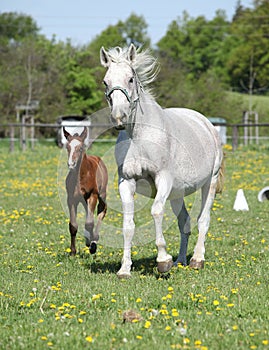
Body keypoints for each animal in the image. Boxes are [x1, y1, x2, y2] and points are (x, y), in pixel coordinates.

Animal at [99, 44, 223, 278]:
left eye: (130, 79)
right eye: (106, 81)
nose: (119, 117)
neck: (139, 136)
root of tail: (206, 124)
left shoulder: (163, 179)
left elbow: (156, 211)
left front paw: (163, 261)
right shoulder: (126, 182)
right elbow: (128, 224)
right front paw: (124, 269)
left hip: (209, 183)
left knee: (203, 220)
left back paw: (196, 260)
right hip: (177, 193)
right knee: (185, 222)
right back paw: (181, 261)